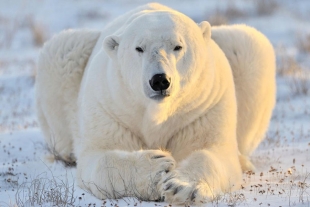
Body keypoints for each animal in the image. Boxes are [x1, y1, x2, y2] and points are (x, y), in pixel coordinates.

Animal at [35, 2, 274, 206]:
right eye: (139, 48)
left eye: (178, 46)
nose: (159, 80)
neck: (158, 113)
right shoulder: (109, 107)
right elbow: (99, 157)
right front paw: (157, 167)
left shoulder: (205, 107)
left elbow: (212, 151)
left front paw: (181, 186)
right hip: (67, 59)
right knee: (62, 50)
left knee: (249, 44)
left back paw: (244, 161)